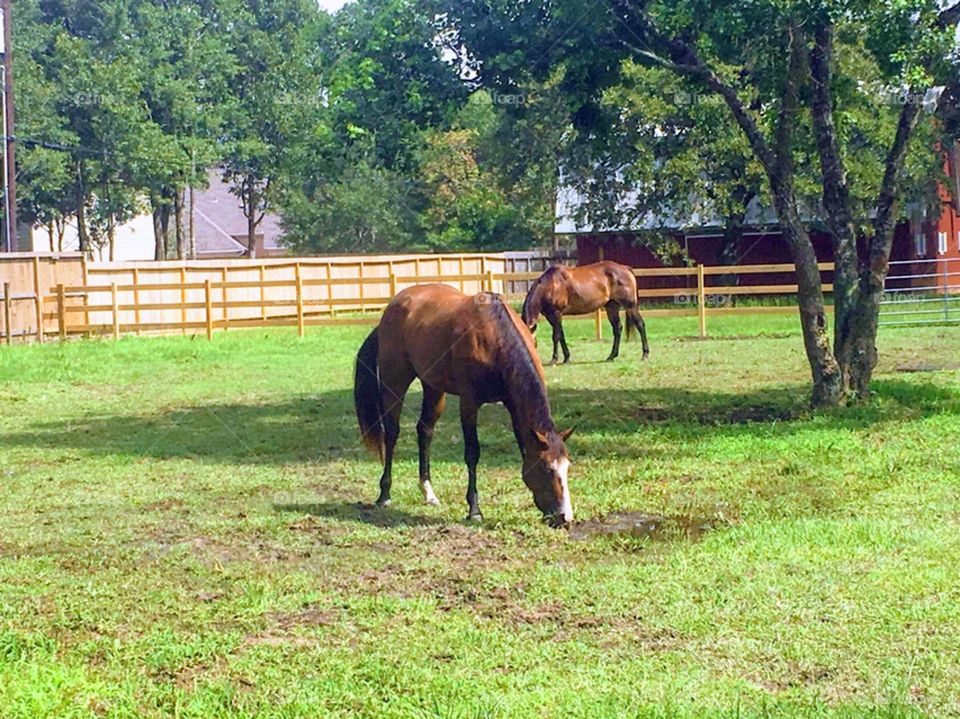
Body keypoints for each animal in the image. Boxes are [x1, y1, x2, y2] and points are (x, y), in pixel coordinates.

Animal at [353, 284, 574, 527]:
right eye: (546, 468)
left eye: (566, 467)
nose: (565, 517)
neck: (494, 337)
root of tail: (394, 306)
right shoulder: (469, 403)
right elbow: (472, 452)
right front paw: (474, 509)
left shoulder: (512, 404)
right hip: (395, 382)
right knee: (391, 433)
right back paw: (384, 495)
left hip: (433, 387)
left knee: (425, 431)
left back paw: (428, 492)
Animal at [521, 261, 650, 364]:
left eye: (532, 343)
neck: (551, 284)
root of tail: (625, 268)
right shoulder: (550, 316)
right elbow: (561, 335)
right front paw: (567, 358)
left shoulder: (557, 313)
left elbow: (556, 336)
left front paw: (554, 359)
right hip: (612, 307)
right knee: (617, 328)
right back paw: (611, 356)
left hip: (630, 306)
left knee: (640, 325)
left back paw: (645, 354)